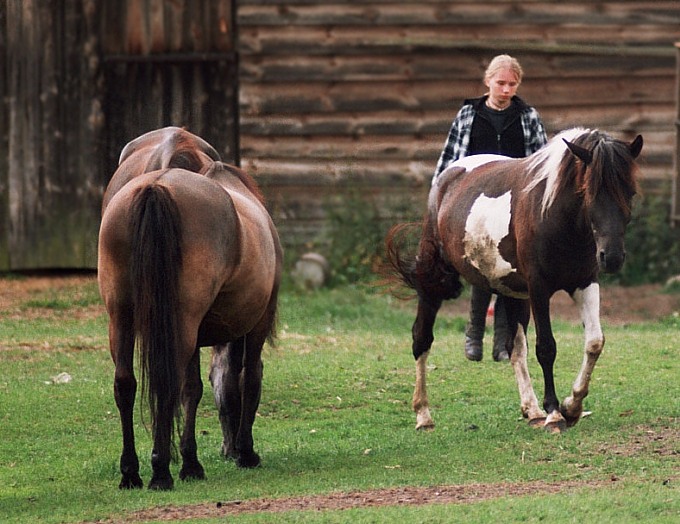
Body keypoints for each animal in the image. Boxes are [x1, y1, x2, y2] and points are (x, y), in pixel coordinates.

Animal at [97, 128, 282, 492]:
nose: (228, 450)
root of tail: (156, 187)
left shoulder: (193, 333)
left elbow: (195, 388)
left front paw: (192, 458)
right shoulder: (255, 324)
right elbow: (248, 377)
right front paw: (243, 452)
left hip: (123, 318)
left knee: (125, 384)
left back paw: (131, 472)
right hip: (181, 322)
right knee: (167, 383)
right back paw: (161, 471)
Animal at [388, 130, 644, 434]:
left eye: (630, 192)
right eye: (589, 193)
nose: (612, 257)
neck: (555, 217)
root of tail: (447, 177)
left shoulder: (584, 283)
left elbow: (594, 342)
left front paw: (572, 406)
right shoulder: (539, 289)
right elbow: (546, 348)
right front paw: (555, 413)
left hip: (511, 291)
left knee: (515, 349)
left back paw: (531, 410)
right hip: (433, 283)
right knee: (422, 338)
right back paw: (423, 415)